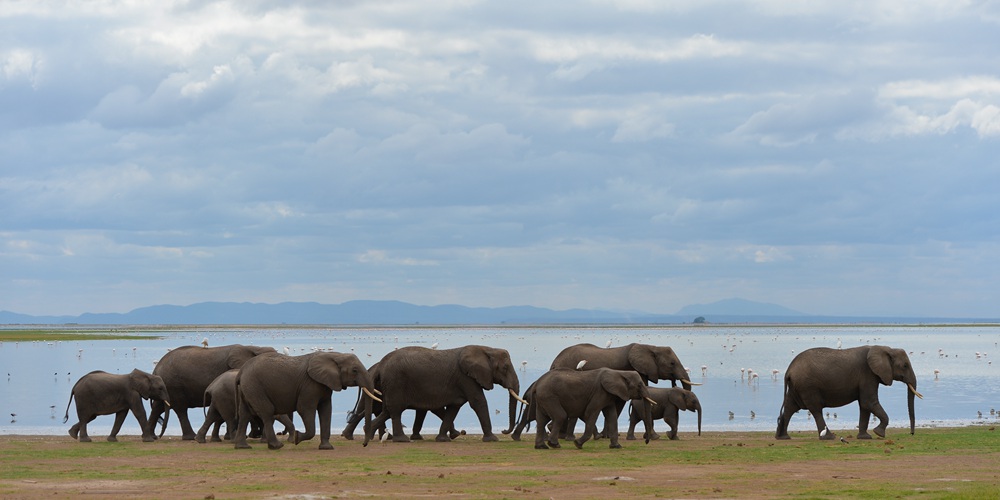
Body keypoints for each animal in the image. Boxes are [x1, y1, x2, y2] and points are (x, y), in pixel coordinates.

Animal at [146, 342, 276, 440]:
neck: (254, 348)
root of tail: (156, 368)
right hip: (174, 385)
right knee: (181, 409)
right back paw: (190, 437)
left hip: (166, 387)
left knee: (158, 407)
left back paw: (151, 437)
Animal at [234, 352, 378, 450]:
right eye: (354, 370)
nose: (364, 445)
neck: (334, 355)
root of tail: (241, 372)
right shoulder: (309, 385)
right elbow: (305, 409)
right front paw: (297, 438)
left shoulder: (325, 385)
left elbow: (326, 410)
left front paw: (326, 448)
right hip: (255, 387)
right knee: (267, 413)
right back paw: (277, 446)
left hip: (248, 389)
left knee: (244, 415)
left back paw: (243, 447)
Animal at [366, 344, 524, 446]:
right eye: (505, 368)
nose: (504, 430)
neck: (487, 349)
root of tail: (381, 365)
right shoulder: (466, 377)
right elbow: (478, 402)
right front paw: (492, 439)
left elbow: (455, 407)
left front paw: (443, 440)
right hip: (396, 382)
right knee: (396, 410)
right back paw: (402, 440)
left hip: (391, 386)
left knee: (387, 411)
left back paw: (369, 435)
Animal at [772, 344, 920, 442]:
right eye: (905, 366)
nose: (912, 433)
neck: (885, 348)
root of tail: (789, 370)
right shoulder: (868, 374)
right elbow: (868, 402)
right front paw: (879, 433)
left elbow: (864, 406)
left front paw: (865, 437)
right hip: (808, 386)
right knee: (815, 409)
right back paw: (829, 437)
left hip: (797, 386)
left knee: (790, 407)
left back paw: (782, 437)